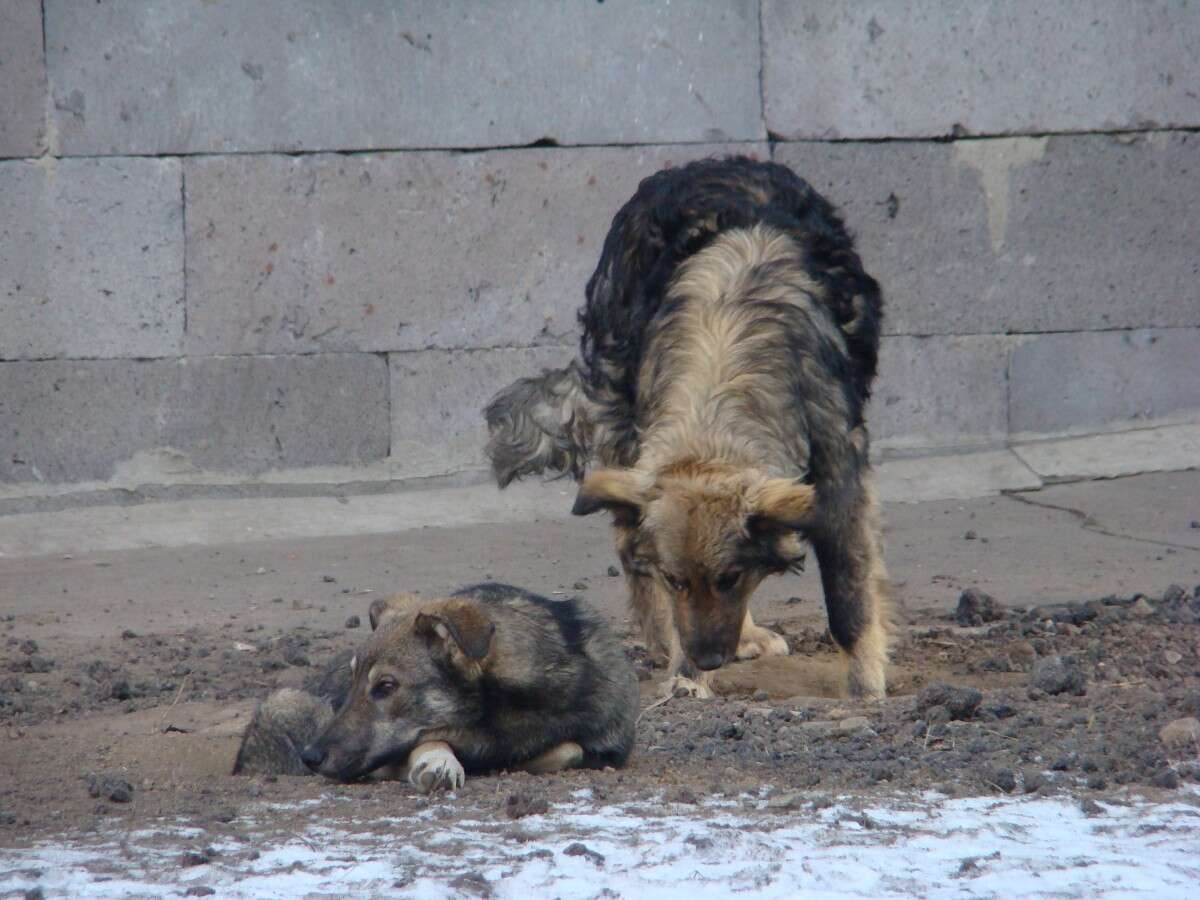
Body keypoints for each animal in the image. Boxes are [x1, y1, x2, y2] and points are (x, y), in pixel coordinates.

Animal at [231, 580, 638, 792]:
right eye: (353, 680)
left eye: (386, 686)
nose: (310, 757)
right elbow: (428, 742)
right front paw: (439, 762)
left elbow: (569, 749)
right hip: (285, 701)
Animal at [484, 158, 892, 700]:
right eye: (675, 581)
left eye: (732, 578)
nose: (708, 659)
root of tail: (714, 162)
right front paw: (684, 679)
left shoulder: (838, 481)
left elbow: (850, 601)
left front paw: (866, 688)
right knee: (626, 548)